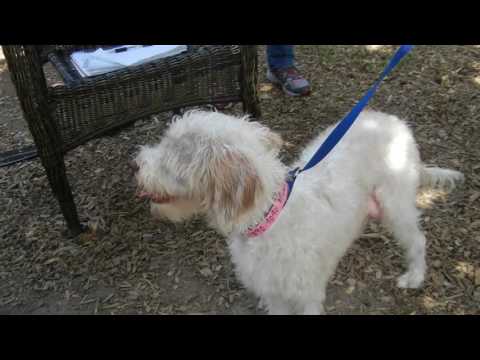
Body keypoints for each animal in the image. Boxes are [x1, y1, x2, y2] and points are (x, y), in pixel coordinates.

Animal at [133, 110, 464, 316]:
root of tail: (396, 123)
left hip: (395, 205)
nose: (135, 164)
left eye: (170, 156)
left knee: (418, 240)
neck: (268, 218)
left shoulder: (307, 295)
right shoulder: (273, 293)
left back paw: (414, 277)